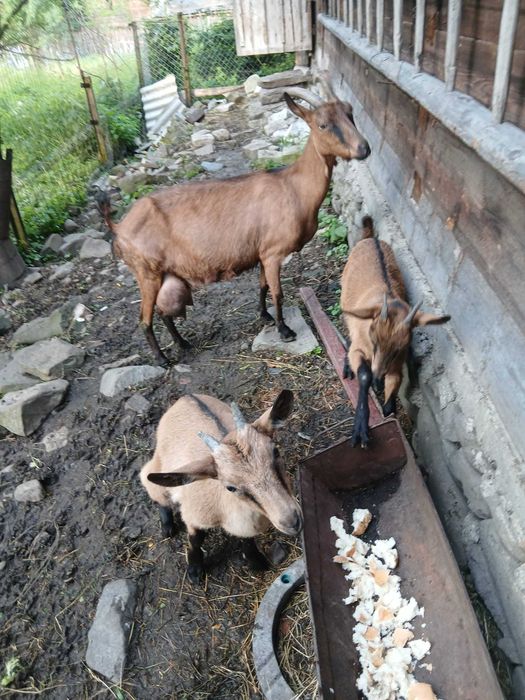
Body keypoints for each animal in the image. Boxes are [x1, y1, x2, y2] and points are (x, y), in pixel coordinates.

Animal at [98, 84, 370, 365]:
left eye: (350, 114)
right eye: (322, 124)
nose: (364, 148)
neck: (293, 187)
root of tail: (119, 227)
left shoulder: (262, 252)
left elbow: (262, 286)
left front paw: (265, 317)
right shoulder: (273, 253)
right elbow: (278, 293)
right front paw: (284, 330)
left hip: (165, 274)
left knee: (163, 312)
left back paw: (183, 343)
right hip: (146, 273)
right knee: (144, 318)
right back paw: (162, 359)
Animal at [140, 389, 302, 583]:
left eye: (275, 452)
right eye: (230, 487)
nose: (292, 521)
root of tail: (185, 397)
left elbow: (247, 540)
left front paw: (257, 562)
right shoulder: (193, 515)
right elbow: (196, 540)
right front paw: (195, 571)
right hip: (157, 472)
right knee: (156, 491)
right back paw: (167, 527)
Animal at [341, 217, 450, 447]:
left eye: (400, 347)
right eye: (373, 340)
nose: (378, 378)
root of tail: (370, 238)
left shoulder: (396, 363)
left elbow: (393, 394)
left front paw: (385, 408)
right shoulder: (362, 348)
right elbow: (363, 373)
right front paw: (360, 429)